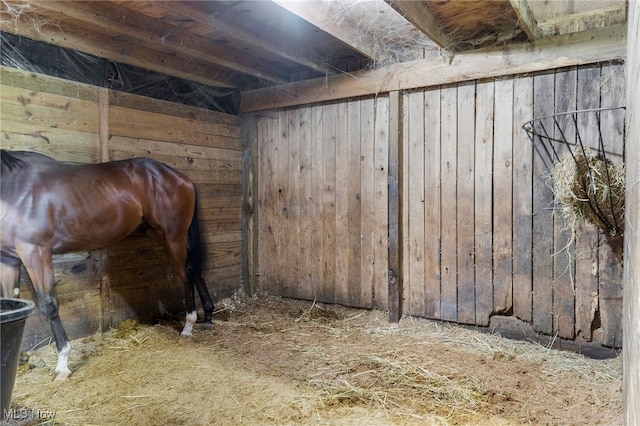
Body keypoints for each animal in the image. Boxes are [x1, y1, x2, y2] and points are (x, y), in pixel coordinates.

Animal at [0, 150, 216, 380]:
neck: (14, 187)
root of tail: (184, 179)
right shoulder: (9, 259)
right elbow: (12, 302)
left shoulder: (35, 251)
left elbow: (49, 305)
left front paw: (62, 366)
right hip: (158, 233)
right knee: (194, 269)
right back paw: (208, 317)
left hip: (173, 236)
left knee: (186, 274)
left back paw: (188, 326)